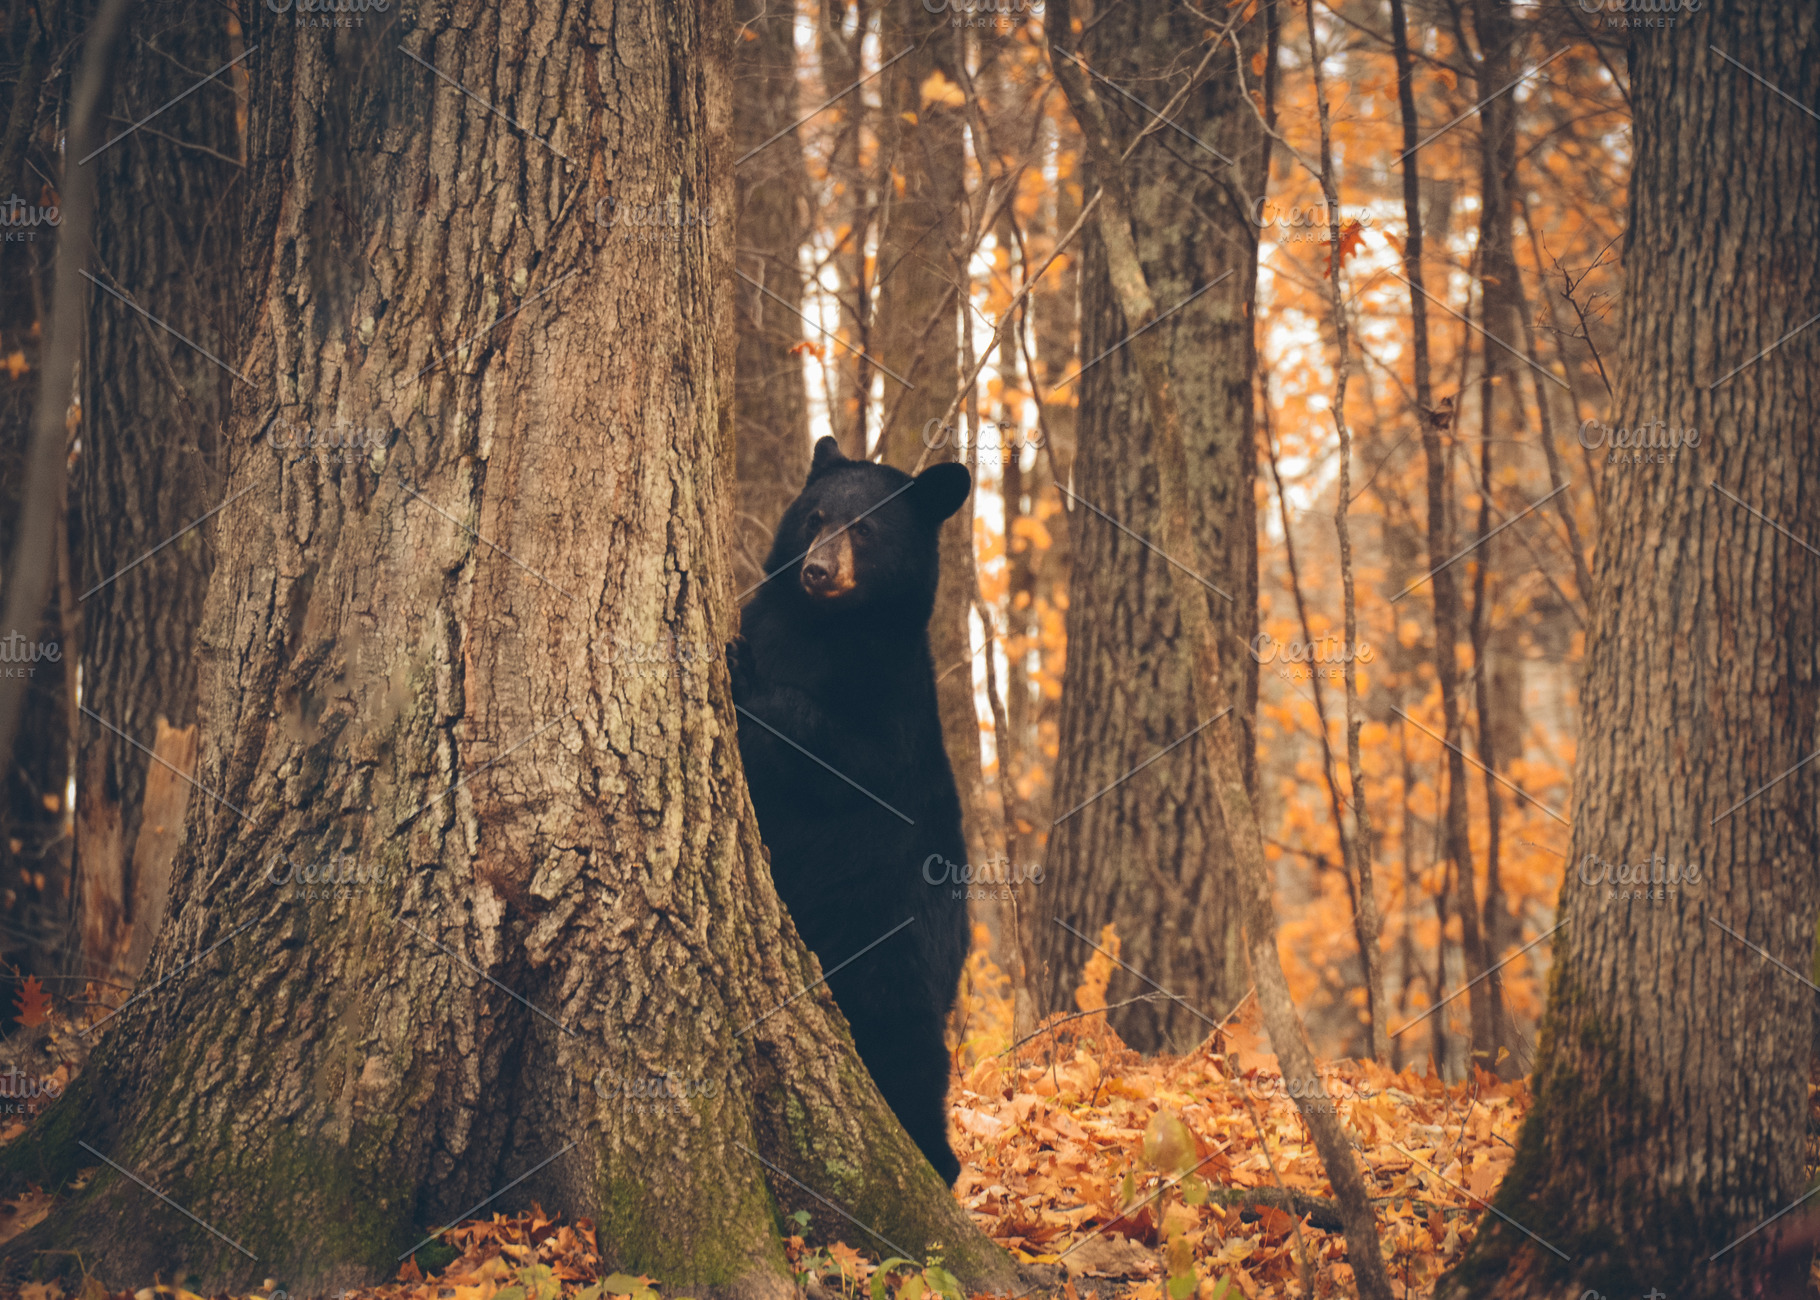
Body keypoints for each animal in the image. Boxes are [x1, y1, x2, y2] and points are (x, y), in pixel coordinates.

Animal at [729, 435, 973, 1185]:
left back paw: (937, 1160)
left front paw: (743, 679)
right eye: (815, 517)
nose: (815, 570)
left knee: (909, 1057)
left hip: (893, 950)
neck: (825, 627)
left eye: (865, 529)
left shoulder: (889, 705)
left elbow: (844, 758)